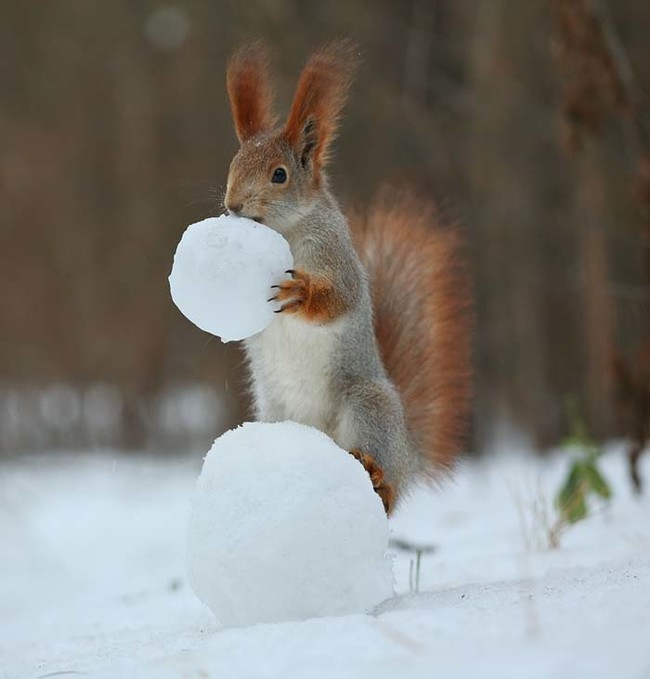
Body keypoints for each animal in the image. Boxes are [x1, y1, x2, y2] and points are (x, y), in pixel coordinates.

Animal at [223, 39, 470, 512]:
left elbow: (341, 298)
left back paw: (379, 479)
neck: (286, 230)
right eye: (233, 163)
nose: (232, 206)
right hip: (273, 411)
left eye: (279, 175)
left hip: (367, 408)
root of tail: (408, 453)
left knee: (385, 486)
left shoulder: (336, 256)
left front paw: (301, 294)